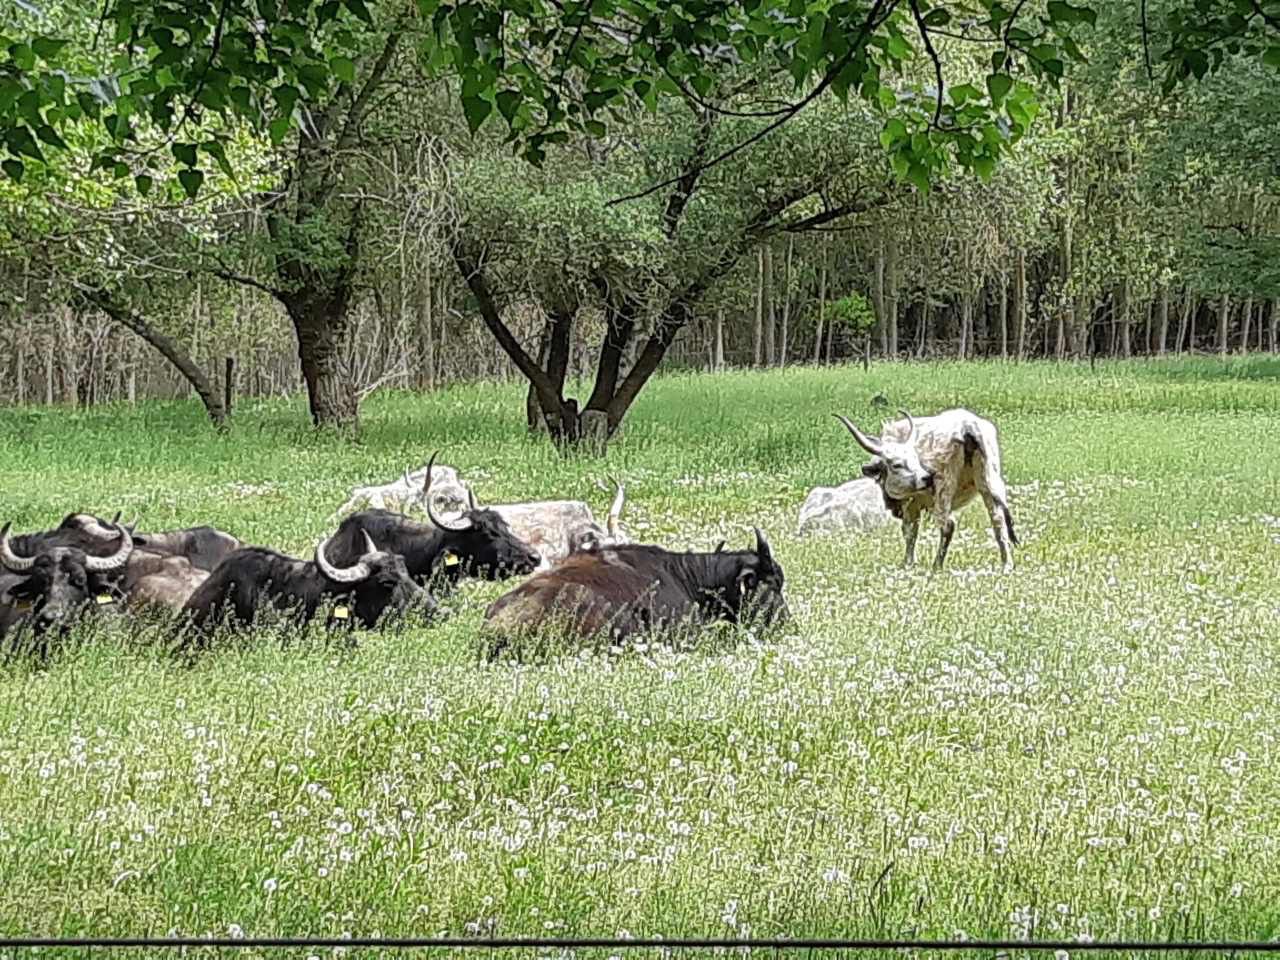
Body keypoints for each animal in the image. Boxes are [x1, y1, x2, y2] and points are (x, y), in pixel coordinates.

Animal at [833, 407, 1018, 571]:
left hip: (944, 486)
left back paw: (937, 565)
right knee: (998, 520)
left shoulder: (911, 503)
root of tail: (968, 426)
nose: (926, 478)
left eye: (913, 459)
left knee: (948, 525)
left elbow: (910, 531)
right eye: (898, 464)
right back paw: (1006, 564)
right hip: (988, 480)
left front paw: (908, 563)